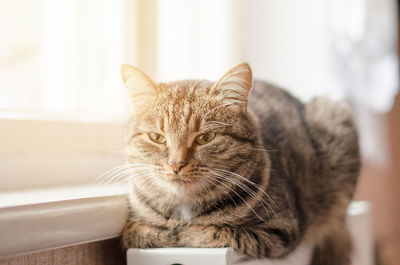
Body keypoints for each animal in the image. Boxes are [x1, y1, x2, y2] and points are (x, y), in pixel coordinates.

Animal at [120, 62, 360, 264]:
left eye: (205, 138)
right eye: (156, 137)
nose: (175, 164)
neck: (185, 208)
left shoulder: (281, 230)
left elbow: (220, 232)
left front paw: (185, 233)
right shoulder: (134, 225)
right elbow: (136, 232)